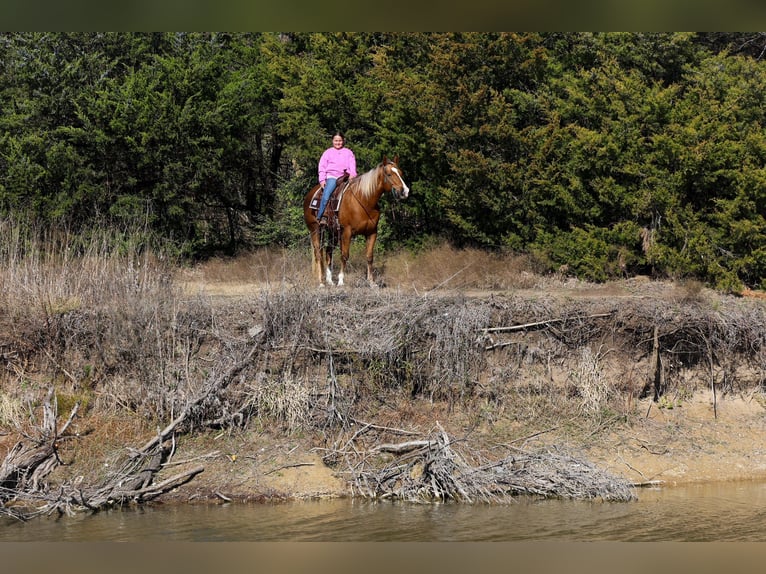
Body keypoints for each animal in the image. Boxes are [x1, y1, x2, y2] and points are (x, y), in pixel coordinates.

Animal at [303, 155, 410, 286]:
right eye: (389, 174)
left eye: (401, 173)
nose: (405, 191)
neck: (364, 201)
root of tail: (309, 195)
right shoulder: (347, 232)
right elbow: (344, 255)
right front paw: (341, 281)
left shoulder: (372, 232)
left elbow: (369, 256)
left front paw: (371, 282)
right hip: (315, 229)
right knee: (319, 254)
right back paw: (321, 283)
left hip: (333, 232)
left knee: (328, 251)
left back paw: (330, 281)